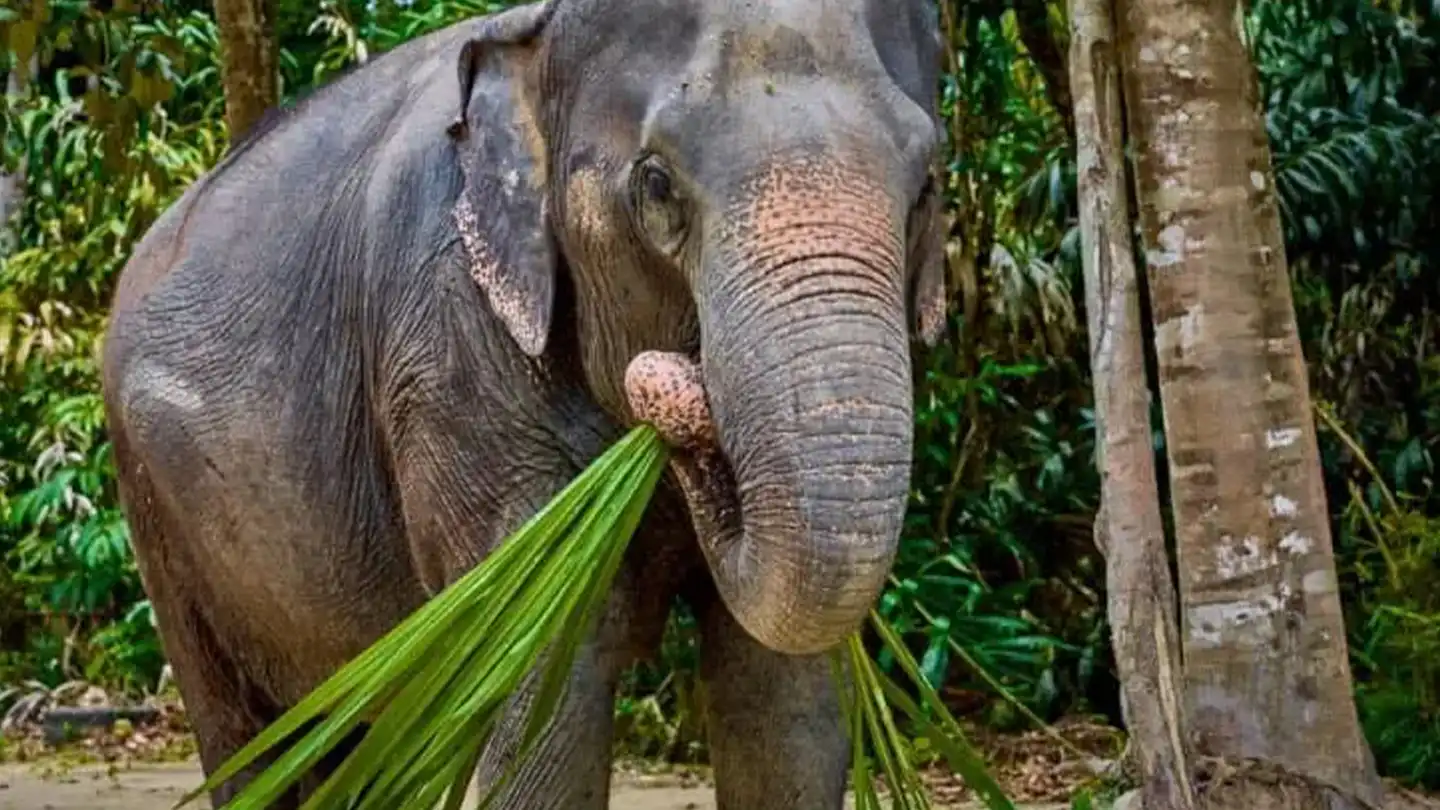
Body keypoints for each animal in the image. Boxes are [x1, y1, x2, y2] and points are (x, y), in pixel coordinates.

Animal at [99, 0, 948, 807]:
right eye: (656, 185)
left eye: (927, 187)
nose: (685, 400)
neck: (536, 37)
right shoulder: (445, 352)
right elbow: (543, 675)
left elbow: (781, 694)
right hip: (159, 521)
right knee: (244, 732)